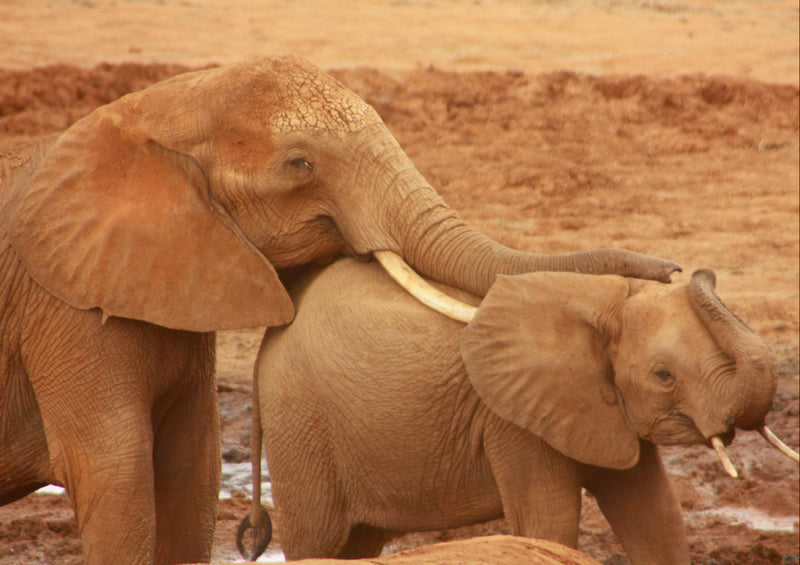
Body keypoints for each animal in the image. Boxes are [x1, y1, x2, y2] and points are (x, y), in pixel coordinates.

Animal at [0, 54, 680, 564]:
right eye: (300, 164)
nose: (673, 269)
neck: (157, 106)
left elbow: (191, 473)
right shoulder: (60, 308)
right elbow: (117, 474)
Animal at [241, 258, 796, 560]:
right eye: (664, 376)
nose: (688, 269)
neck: (604, 303)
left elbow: (656, 516)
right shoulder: (513, 422)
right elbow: (547, 523)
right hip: (301, 427)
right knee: (316, 538)